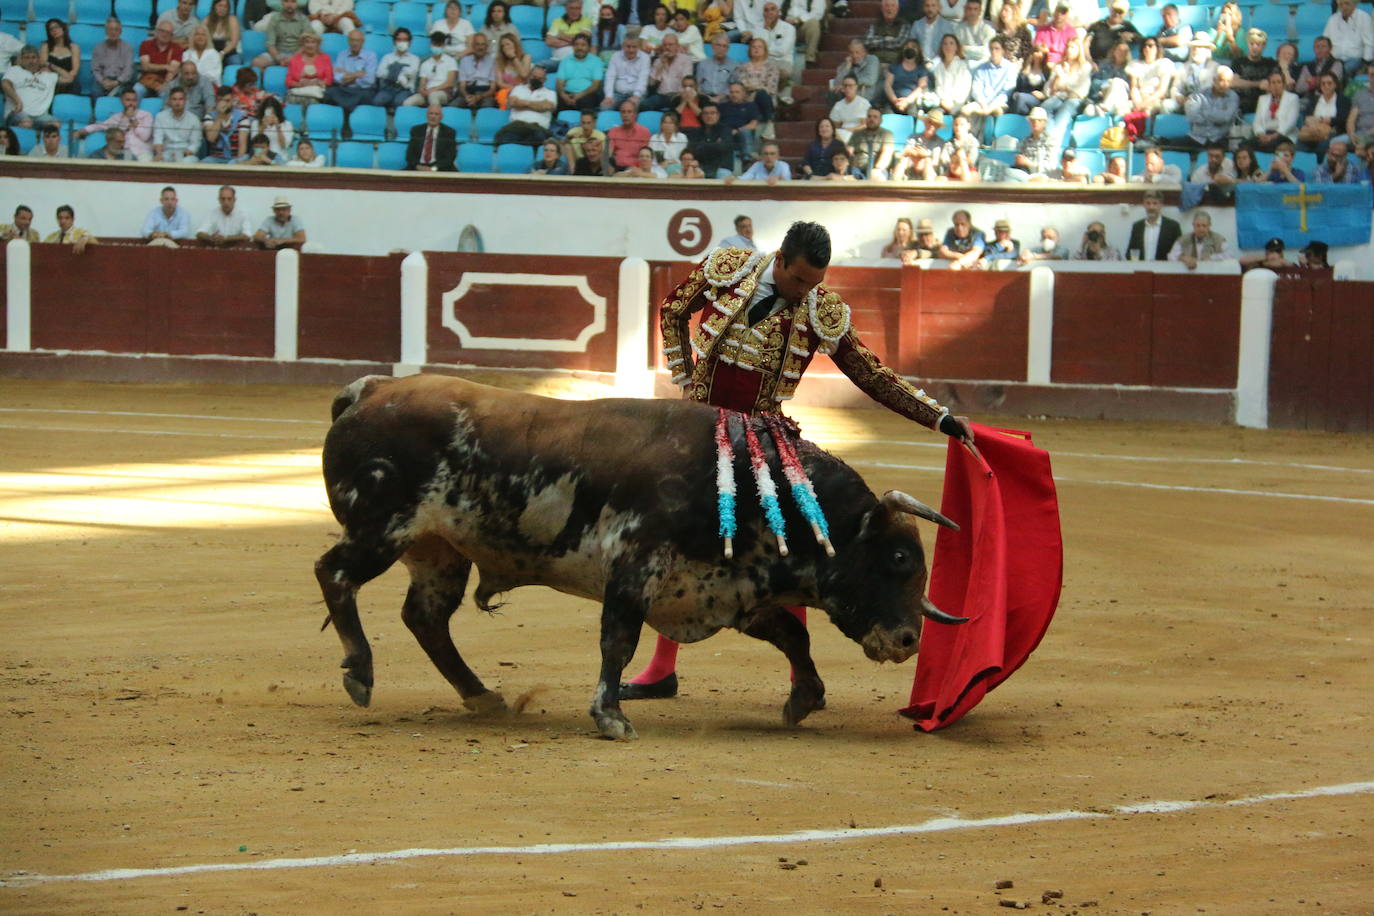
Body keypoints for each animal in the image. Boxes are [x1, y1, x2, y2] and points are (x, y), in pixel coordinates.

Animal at [318, 376, 967, 741]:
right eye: (900, 556)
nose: (908, 640)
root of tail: (367, 392)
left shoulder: (728, 589)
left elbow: (792, 633)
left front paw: (803, 699)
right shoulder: (635, 569)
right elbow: (618, 642)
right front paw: (611, 717)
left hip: (438, 551)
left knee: (425, 617)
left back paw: (483, 697)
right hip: (382, 528)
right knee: (336, 573)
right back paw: (359, 674)